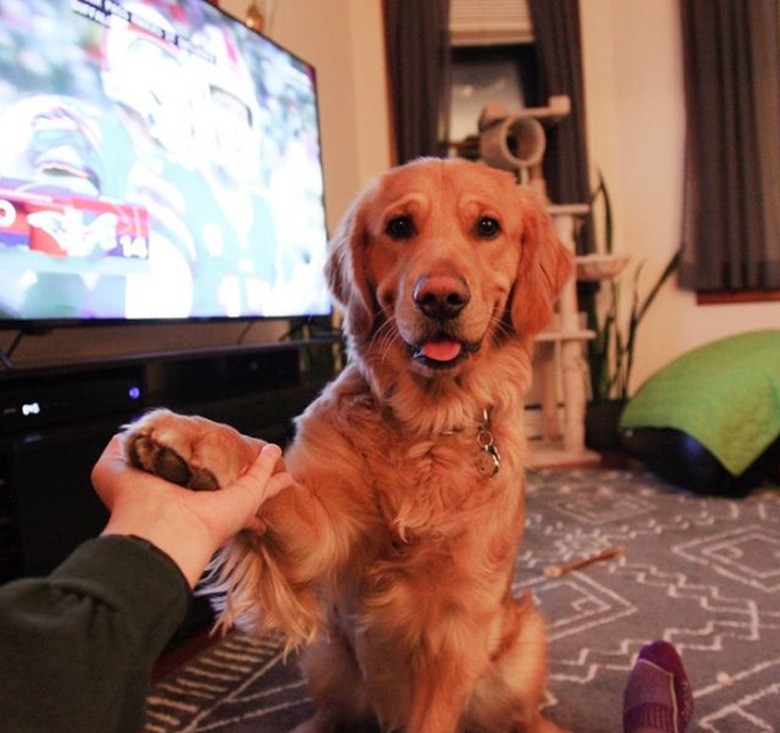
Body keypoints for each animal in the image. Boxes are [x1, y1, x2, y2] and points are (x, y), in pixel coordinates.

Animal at [125, 159, 568, 732]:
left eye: (488, 227)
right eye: (400, 226)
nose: (440, 296)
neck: (426, 426)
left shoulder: (460, 626)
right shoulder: (321, 535)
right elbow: (261, 463)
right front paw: (191, 436)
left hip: (526, 641)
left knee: (521, 716)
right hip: (327, 657)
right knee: (333, 712)